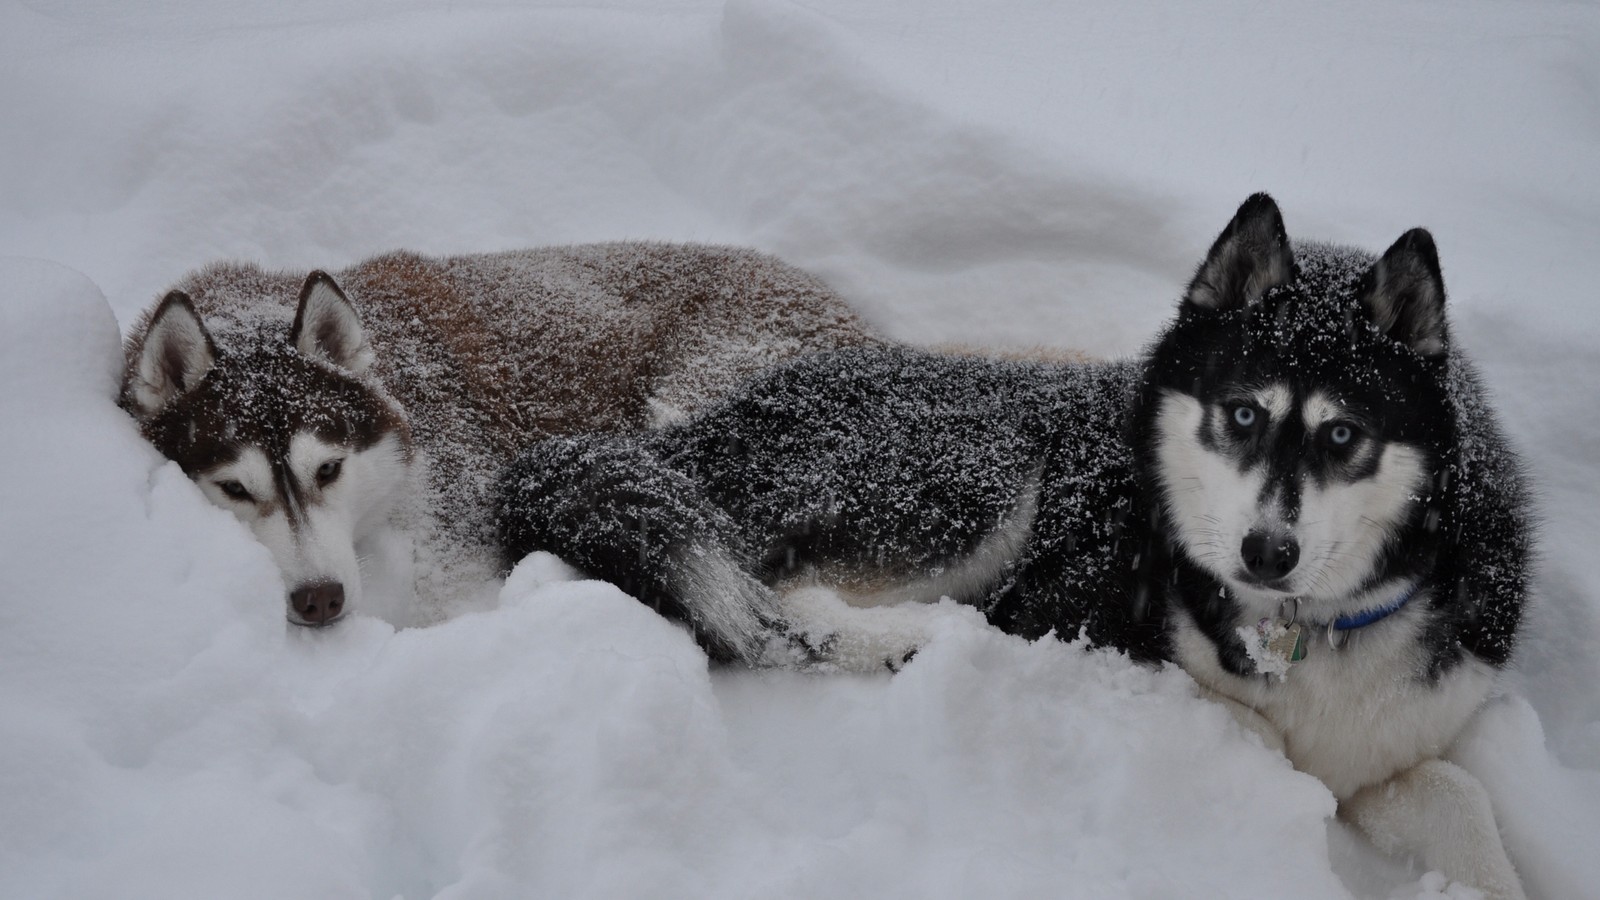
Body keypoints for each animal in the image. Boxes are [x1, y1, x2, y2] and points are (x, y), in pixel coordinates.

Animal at [505, 197, 1529, 896]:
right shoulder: (1112, 636)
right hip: (978, 471)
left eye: (1344, 434)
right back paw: (908, 641)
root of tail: (693, 432)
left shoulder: (1399, 736)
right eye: (1242, 414)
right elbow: (1255, 737)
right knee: (778, 607)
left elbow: (1458, 796)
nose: (1265, 553)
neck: (1308, 627)